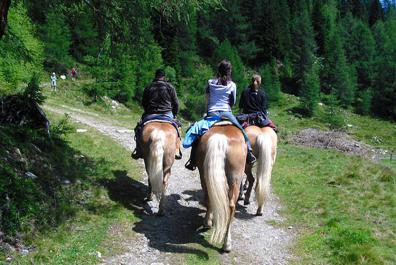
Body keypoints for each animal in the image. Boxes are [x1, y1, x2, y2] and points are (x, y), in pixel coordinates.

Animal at [196, 124, 248, 252]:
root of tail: (221, 139)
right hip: (234, 177)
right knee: (229, 205)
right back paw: (225, 242)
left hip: (205, 173)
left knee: (214, 199)